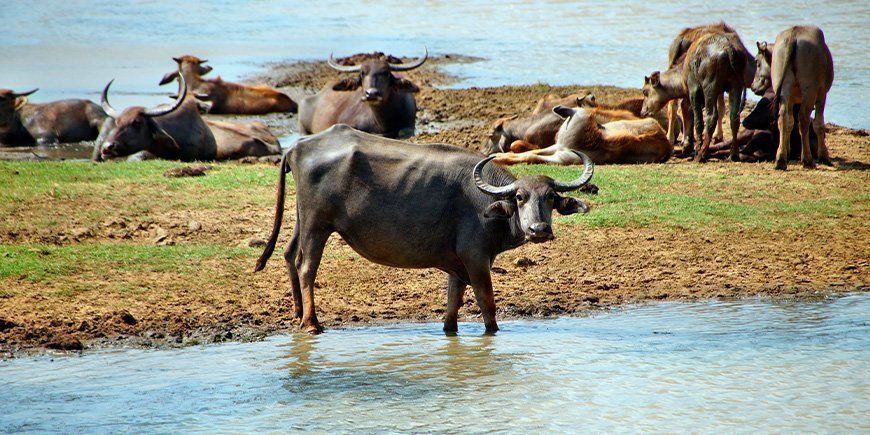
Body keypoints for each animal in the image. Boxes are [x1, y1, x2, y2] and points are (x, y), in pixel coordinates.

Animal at [252, 124, 592, 336]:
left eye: (550, 197)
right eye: (519, 197)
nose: (539, 229)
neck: (488, 202)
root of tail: (298, 147)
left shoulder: (458, 265)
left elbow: (453, 305)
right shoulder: (476, 258)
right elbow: (488, 305)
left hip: (302, 219)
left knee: (289, 254)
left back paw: (297, 314)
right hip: (317, 224)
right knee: (306, 266)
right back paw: (311, 322)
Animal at [490, 106, 676, 166]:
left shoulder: (560, 157)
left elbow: (532, 156)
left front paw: (501, 158)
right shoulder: (557, 147)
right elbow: (531, 152)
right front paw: (500, 156)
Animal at [748, 24, 836, 169]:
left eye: (756, 61)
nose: (753, 86)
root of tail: (794, 34)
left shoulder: (791, 99)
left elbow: (789, 122)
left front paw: (787, 151)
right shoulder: (821, 95)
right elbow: (818, 124)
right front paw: (824, 156)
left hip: (785, 88)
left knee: (783, 118)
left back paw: (781, 159)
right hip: (809, 90)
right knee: (804, 119)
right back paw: (807, 159)